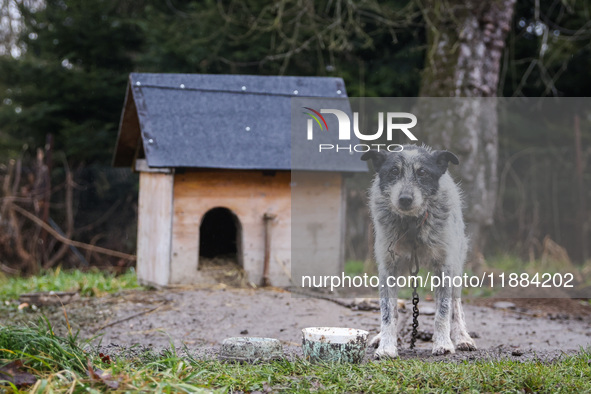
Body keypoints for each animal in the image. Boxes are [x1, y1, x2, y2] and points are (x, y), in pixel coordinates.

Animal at [360, 144, 476, 358]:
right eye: (393, 171)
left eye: (422, 172)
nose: (405, 199)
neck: (412, 225)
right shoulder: (388, 268)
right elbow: (387, 313)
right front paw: (386, 346)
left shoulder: (444, 267)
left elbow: (443, 311)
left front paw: (443, 344)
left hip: (457, 266)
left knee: (456, 307)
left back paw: (462, 338)